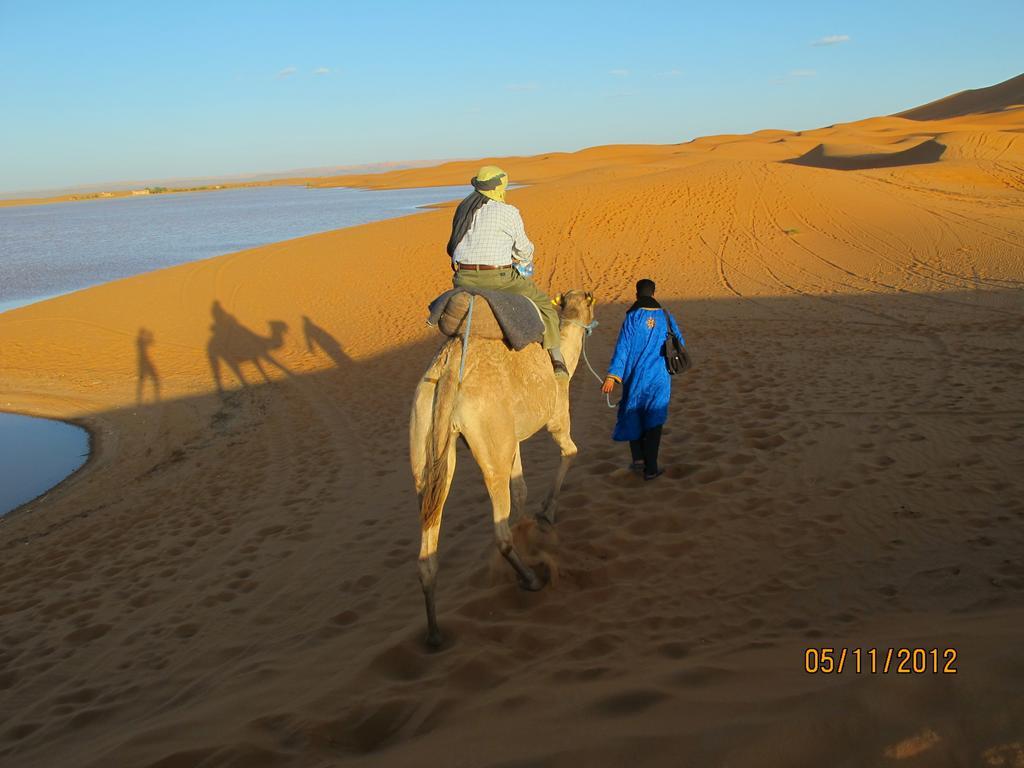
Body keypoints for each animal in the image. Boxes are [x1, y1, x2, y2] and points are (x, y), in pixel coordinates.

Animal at [409, 288, 598, 651]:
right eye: (588, 298)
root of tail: (450, 372)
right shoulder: (556, 416)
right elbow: (570, 451)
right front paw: (545, 513)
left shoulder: (515, 438)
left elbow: (520, 486)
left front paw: (528, 522)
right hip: (489, 432)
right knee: (499, 526)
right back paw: (532, 578)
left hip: (428, 440)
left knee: (428, 525)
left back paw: (435, 633)